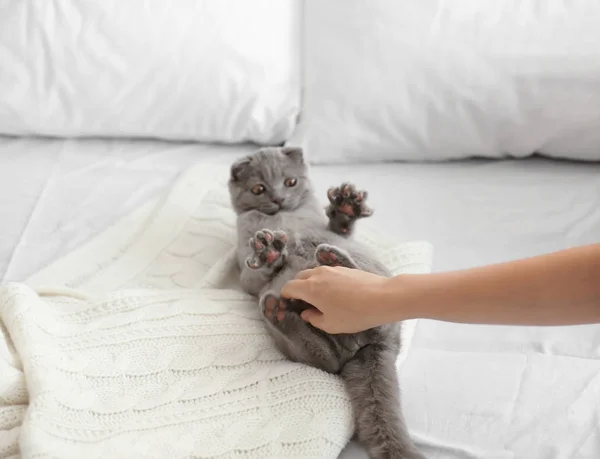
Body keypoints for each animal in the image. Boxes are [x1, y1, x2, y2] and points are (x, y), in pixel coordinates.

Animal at [227, 147, 424, 459]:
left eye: (291, 182)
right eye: (258, 189)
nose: (278, 199)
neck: (287, 216)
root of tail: (368, 348)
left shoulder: (334, 232)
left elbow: (341, 229)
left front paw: (346, 207)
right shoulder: (245, 270)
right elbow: (254, 277)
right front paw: (269, 254)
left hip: (376, 278)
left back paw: (337, 267)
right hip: (307, 346)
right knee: (326, 360)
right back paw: (279, 311)